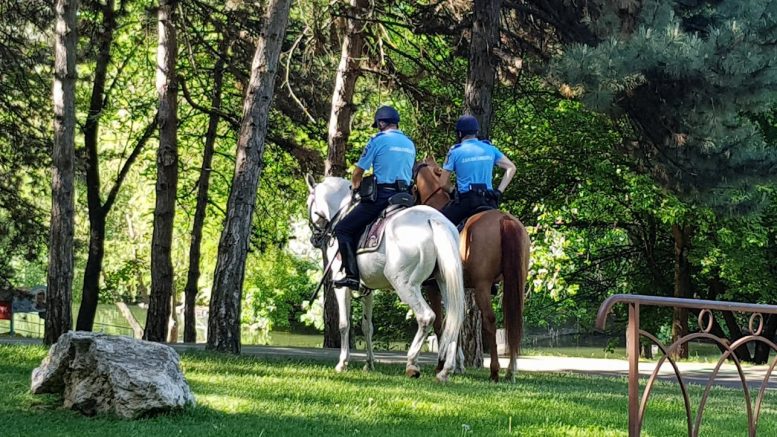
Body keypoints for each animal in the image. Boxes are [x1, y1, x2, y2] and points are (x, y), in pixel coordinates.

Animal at [304, 175, 464, 380]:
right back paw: (446, 370)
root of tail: (433, 219)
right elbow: (367, 326)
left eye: (308, 203)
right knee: (454, 320)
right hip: (445, 284)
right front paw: (369, 363)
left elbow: (344, 324)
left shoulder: (341, 286)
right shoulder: (367, 290)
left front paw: (342, 363)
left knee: (426, 317)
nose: (314, 239)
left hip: (404, 284)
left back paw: (412, 363)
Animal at [412, 155, 528, 380]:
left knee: (490, 321)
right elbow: (455, 320)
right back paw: (510, 371)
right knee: (514, 319)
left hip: (483, 286)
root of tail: (504, 219)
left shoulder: (434, 287)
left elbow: (440, 323)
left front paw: (442, 364)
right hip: (515, 282)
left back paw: (495, 371)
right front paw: (456, 364)